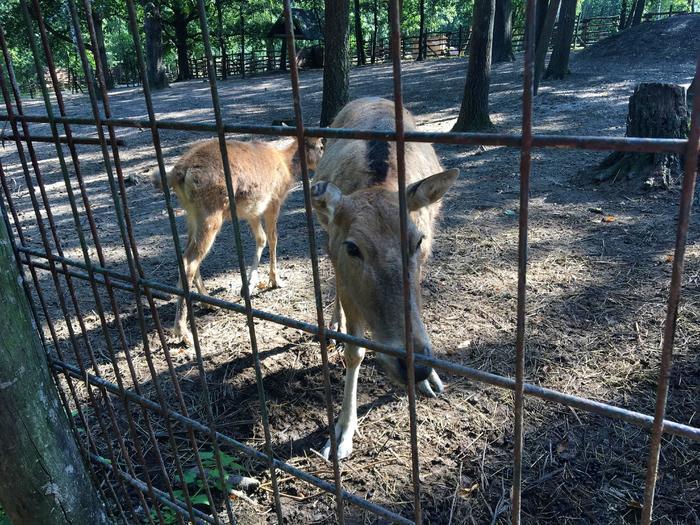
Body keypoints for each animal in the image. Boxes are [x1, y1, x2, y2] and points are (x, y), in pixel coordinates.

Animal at [152, 137, 324, 346]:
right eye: (321, 146)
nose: (324, 160)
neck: (288, 166)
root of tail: (177, 173)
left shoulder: (253, 210)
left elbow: (261, 238)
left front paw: (250, 284)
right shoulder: (274, 200)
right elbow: (273, 238)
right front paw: (275, 280)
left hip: (191, 213)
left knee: (186, 255)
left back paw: (207, 301)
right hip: (211, 213)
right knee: (189, 261)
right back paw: (183, 332)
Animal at [312, 96, 460, 456]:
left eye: (417, 240)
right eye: (354, 247)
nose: (416, 366)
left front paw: (432, 379)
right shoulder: (339, 256)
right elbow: (355, 351)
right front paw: (341, 434)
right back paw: (334, 326)